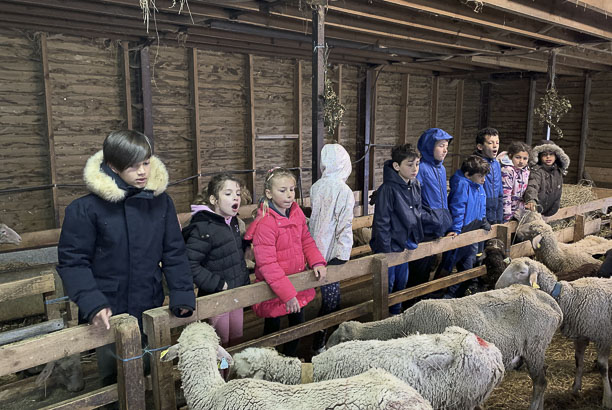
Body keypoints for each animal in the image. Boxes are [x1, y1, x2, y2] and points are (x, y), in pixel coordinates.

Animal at [494, 258, 612, 408]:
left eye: (521, 272)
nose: (496, 286)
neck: (569, 297)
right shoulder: (581, 336)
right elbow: (578, 361)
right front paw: (575, 388)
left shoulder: (604, 337)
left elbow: (602, 367)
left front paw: (607, 399)